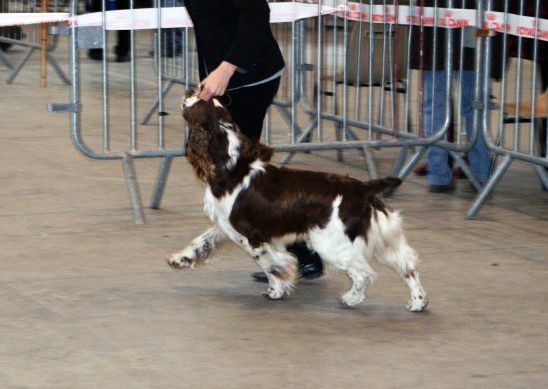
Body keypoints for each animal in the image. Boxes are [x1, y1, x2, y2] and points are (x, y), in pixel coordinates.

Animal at [167, 89, 428, 310]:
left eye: (198, 101)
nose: (193, 88)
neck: (230, 167)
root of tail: (362, 188)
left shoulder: (251, 236)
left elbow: (270, 263)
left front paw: (277, 288)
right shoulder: (226, 226)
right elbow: (202, 241)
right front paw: (179, 259)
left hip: (330, 242)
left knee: (363, 273)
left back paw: (351, 299)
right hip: (380, 235)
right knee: (407, 265)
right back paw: (418, 302)